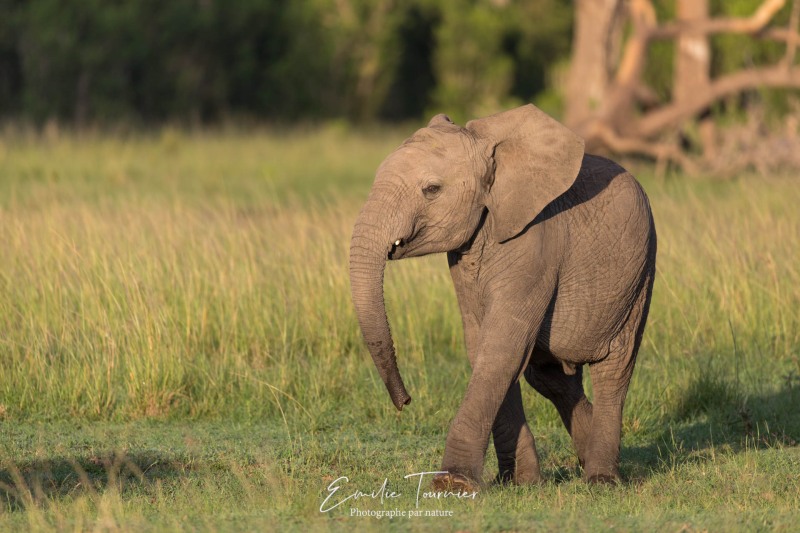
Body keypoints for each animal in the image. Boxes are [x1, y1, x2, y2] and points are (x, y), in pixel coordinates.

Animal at [350, 105, 656, 490]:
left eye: (432, 189)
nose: (405, 401)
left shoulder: (535, 244)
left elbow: (501, 347)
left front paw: (453, 484)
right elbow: (483, 346)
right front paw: (520, 483)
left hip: (638, 276)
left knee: (613, 371)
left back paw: (601, 479)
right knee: (551, 377)